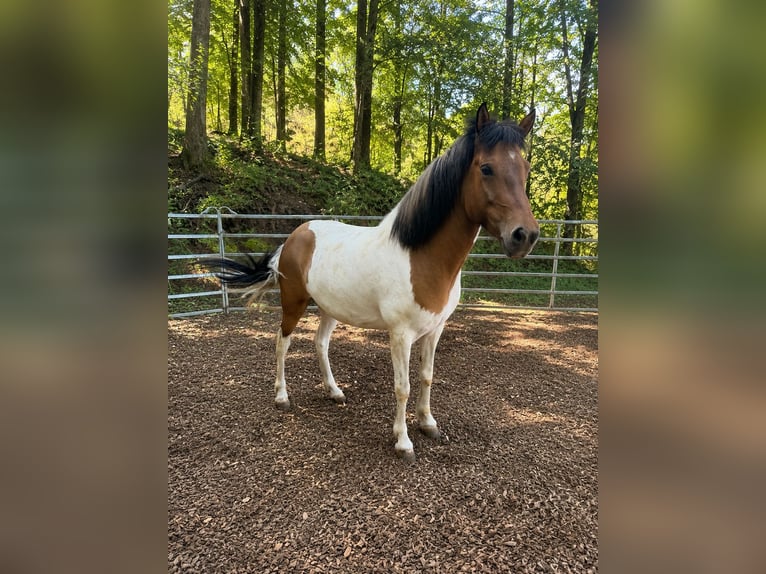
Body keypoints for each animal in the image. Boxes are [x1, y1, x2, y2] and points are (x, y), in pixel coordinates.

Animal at [202, 103, 539, 461]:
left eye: (526, 169)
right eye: (486, 168)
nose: (525, 236)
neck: (420, 256)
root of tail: (295, 236)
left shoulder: (435, 330)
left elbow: (427, 377)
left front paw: (428, 424)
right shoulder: (401, 335)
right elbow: (402, 387)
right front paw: (403, 441)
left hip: (329, 309)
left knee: (320, 344)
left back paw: (334, 391)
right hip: (293, 304)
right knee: (282, 343)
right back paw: (282, 397)